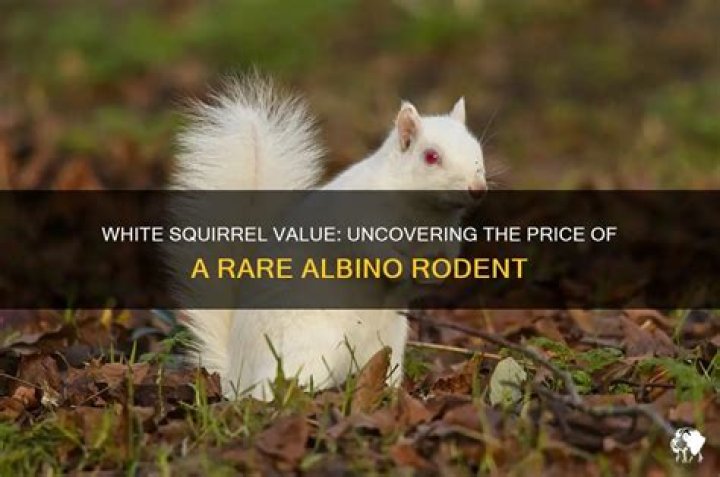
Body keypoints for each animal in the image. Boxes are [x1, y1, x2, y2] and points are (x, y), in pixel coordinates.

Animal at [173, 76, 486, 399]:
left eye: (477, 149)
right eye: (431, 157)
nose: (478, 189)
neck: (427, 215)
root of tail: (236, 374)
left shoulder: (444, 235)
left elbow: (444, 258)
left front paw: (438, 272)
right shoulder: (358, 221)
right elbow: (371, 251)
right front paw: (398, 267)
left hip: (387, 341)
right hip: (305, 344)